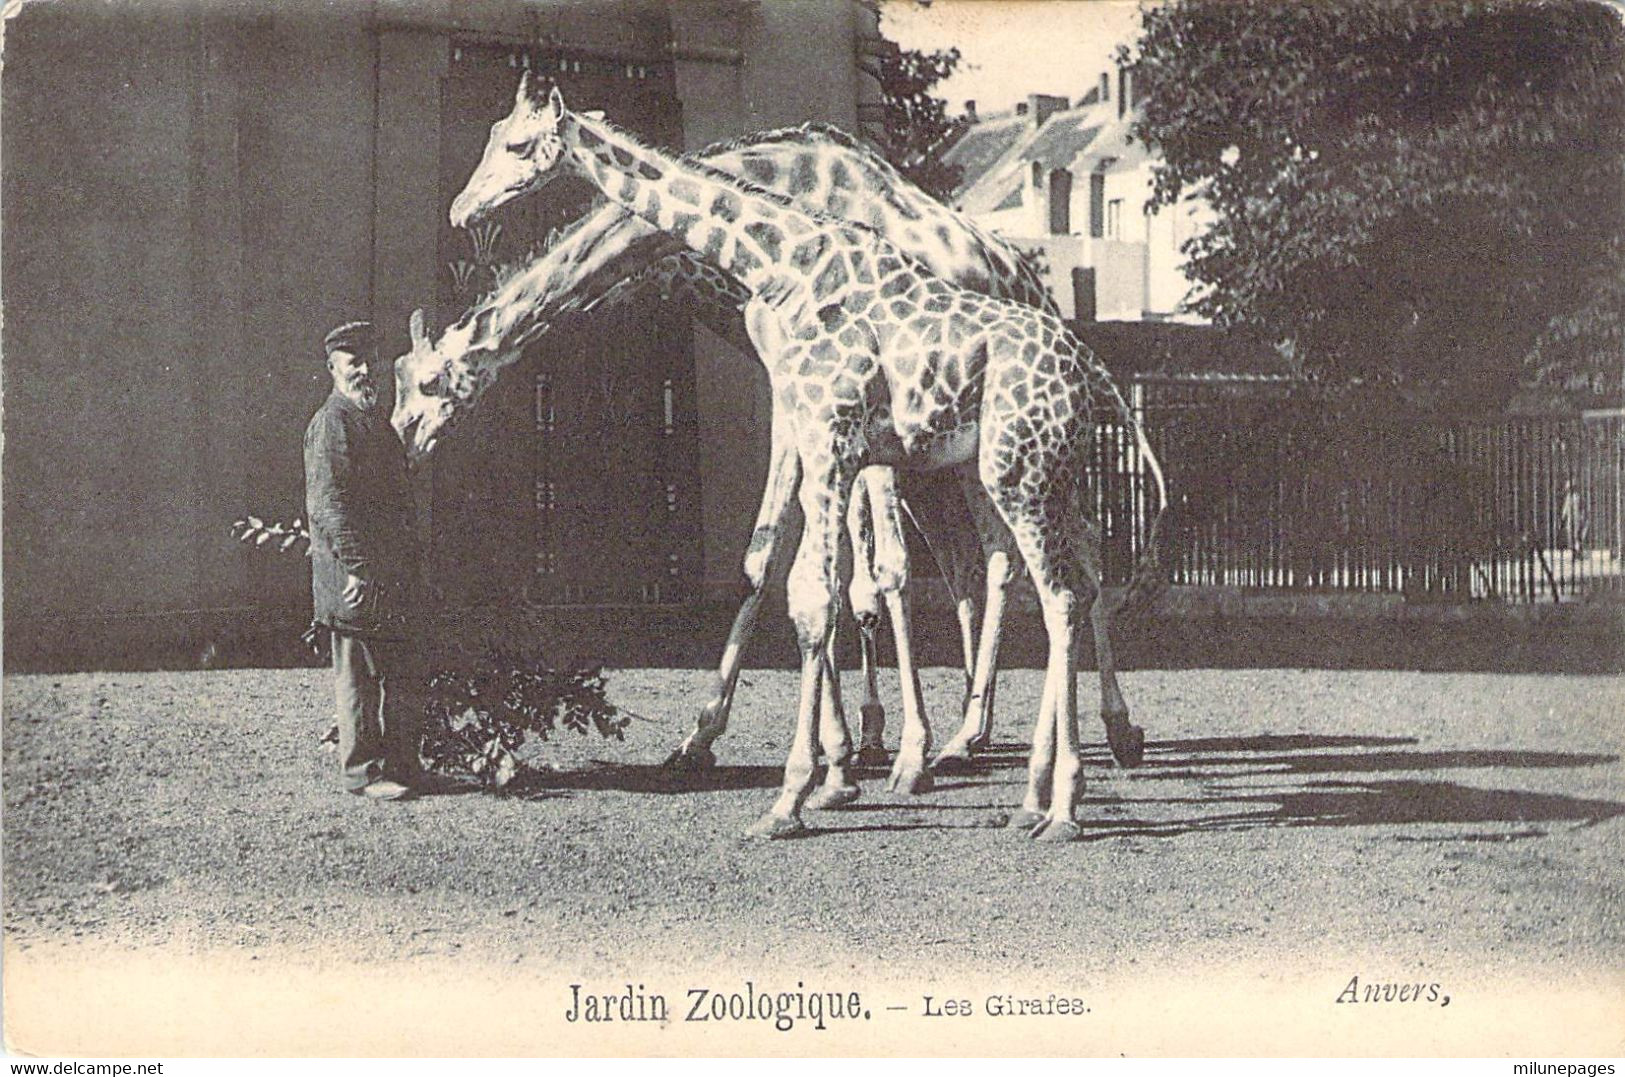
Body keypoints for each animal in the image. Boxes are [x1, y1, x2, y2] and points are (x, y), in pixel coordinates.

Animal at [438, 82, 1163, 844]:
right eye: (492, 134)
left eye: (518, 144)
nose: (462, 209)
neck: (778, 259)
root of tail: (1086, 359)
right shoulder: (823, 435)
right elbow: (803, 584)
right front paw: (821, 762)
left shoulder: (829, 433)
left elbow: (833, 592)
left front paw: (809, 785)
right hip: (1008, 468)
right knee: (1033, 573)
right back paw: (1017, 766)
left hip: (1010, 469)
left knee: (1059, 582)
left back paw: (1061, 782)